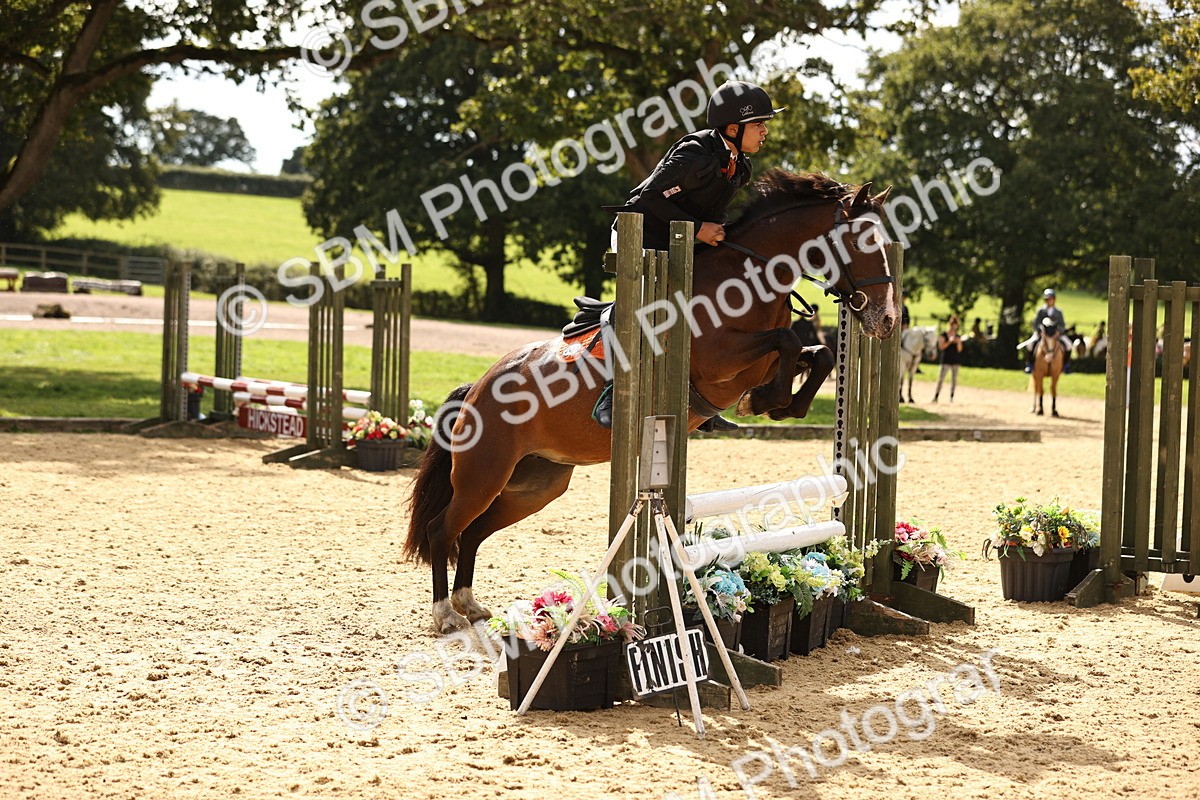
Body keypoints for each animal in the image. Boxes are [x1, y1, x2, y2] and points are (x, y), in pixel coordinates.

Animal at [404, 170, 900, 633]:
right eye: (862, 242)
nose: (888, 320)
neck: (750, 279)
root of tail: (476, 390)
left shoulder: (757, 364)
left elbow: (815, 354)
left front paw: (777, 405)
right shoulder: (719, 361)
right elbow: (788, 340)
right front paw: (769, 401)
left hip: (535, 484)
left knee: (472, 532)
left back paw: (470, 605)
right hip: (484, 474)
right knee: (442, 530)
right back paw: (446, 614)